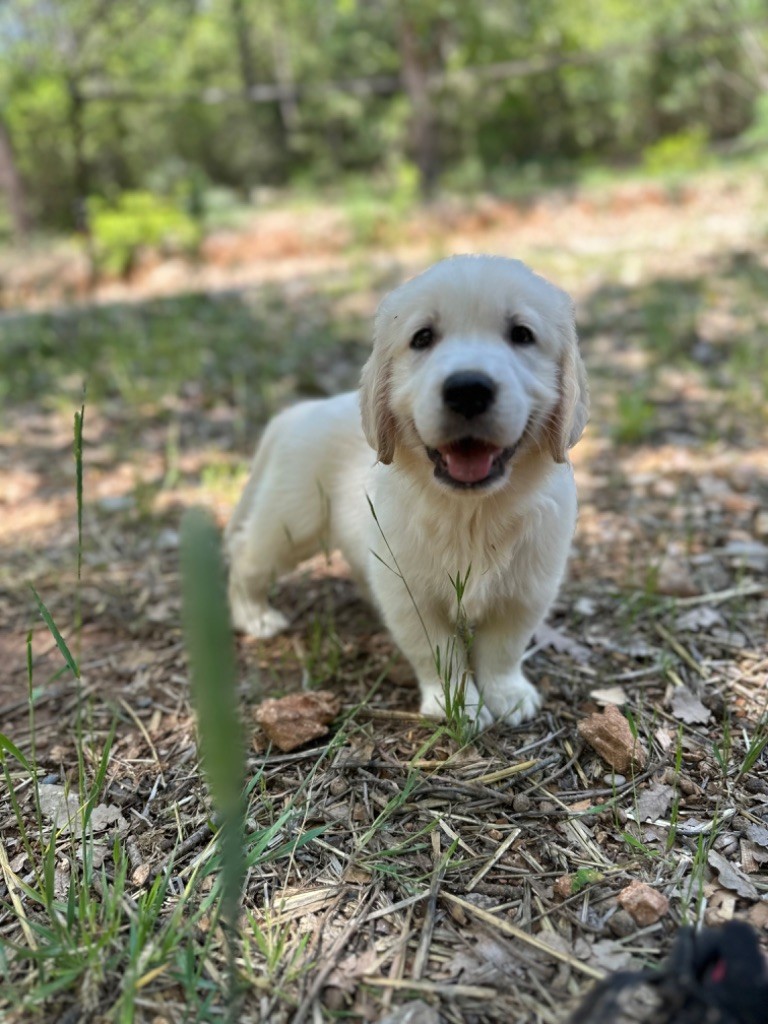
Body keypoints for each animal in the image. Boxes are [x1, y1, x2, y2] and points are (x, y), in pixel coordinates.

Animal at [224, 253, 589, 729]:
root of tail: (299, 411)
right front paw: (457, 706)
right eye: (423, 338)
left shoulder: (527, 588)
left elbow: (504, 649)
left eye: (522, 335)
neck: (470, 511)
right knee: (247, 558)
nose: (468, 389)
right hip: (289, 523)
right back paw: (254, 615)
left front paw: (508, 695)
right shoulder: (410, 593)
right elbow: (439, 654)